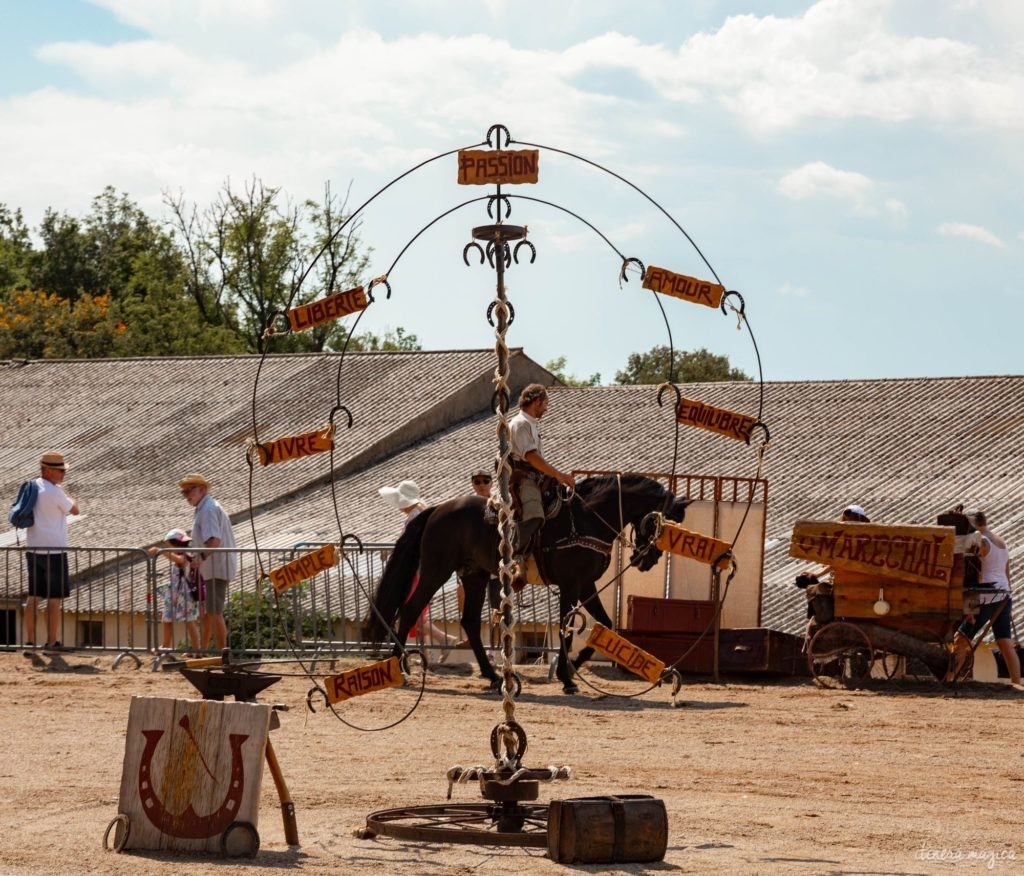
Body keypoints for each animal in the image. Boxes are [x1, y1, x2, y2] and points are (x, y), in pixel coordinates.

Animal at [364, 475, 692, 696]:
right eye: (660, 523)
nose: (648, 560)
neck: (587, 518)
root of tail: (438, 509)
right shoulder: (571, 585)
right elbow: (565, 627)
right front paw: (566, 677)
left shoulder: (586, 584)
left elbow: (607, 624)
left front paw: (574, 666)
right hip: (436, 571)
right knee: (410, 611)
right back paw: (402, 667)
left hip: (474, 575)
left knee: (469, 622)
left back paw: (493, 677)